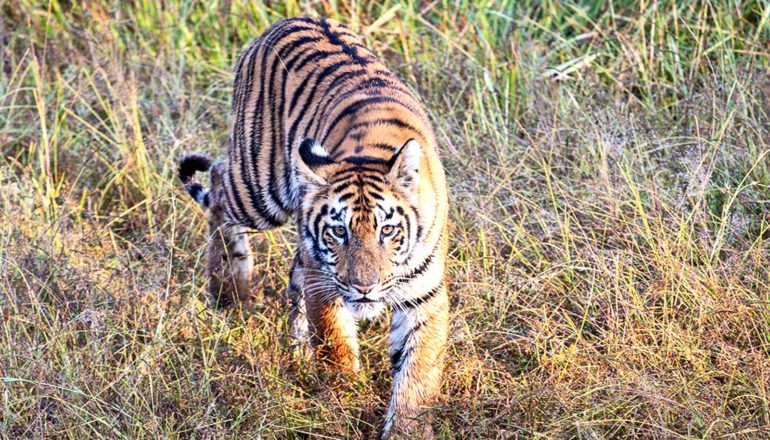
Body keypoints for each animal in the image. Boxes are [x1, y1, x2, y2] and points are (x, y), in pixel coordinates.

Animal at [177, 16, 448, 436]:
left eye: (387, 231)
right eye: (339, 231)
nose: (364, 288)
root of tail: (282, 22)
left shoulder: (425, 293)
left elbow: (416, 375)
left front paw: (406, 429)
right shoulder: (324, 279)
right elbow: (334, 342)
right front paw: (345, 397)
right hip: (260, 190)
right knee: (220, 181)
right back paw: (229, 287)